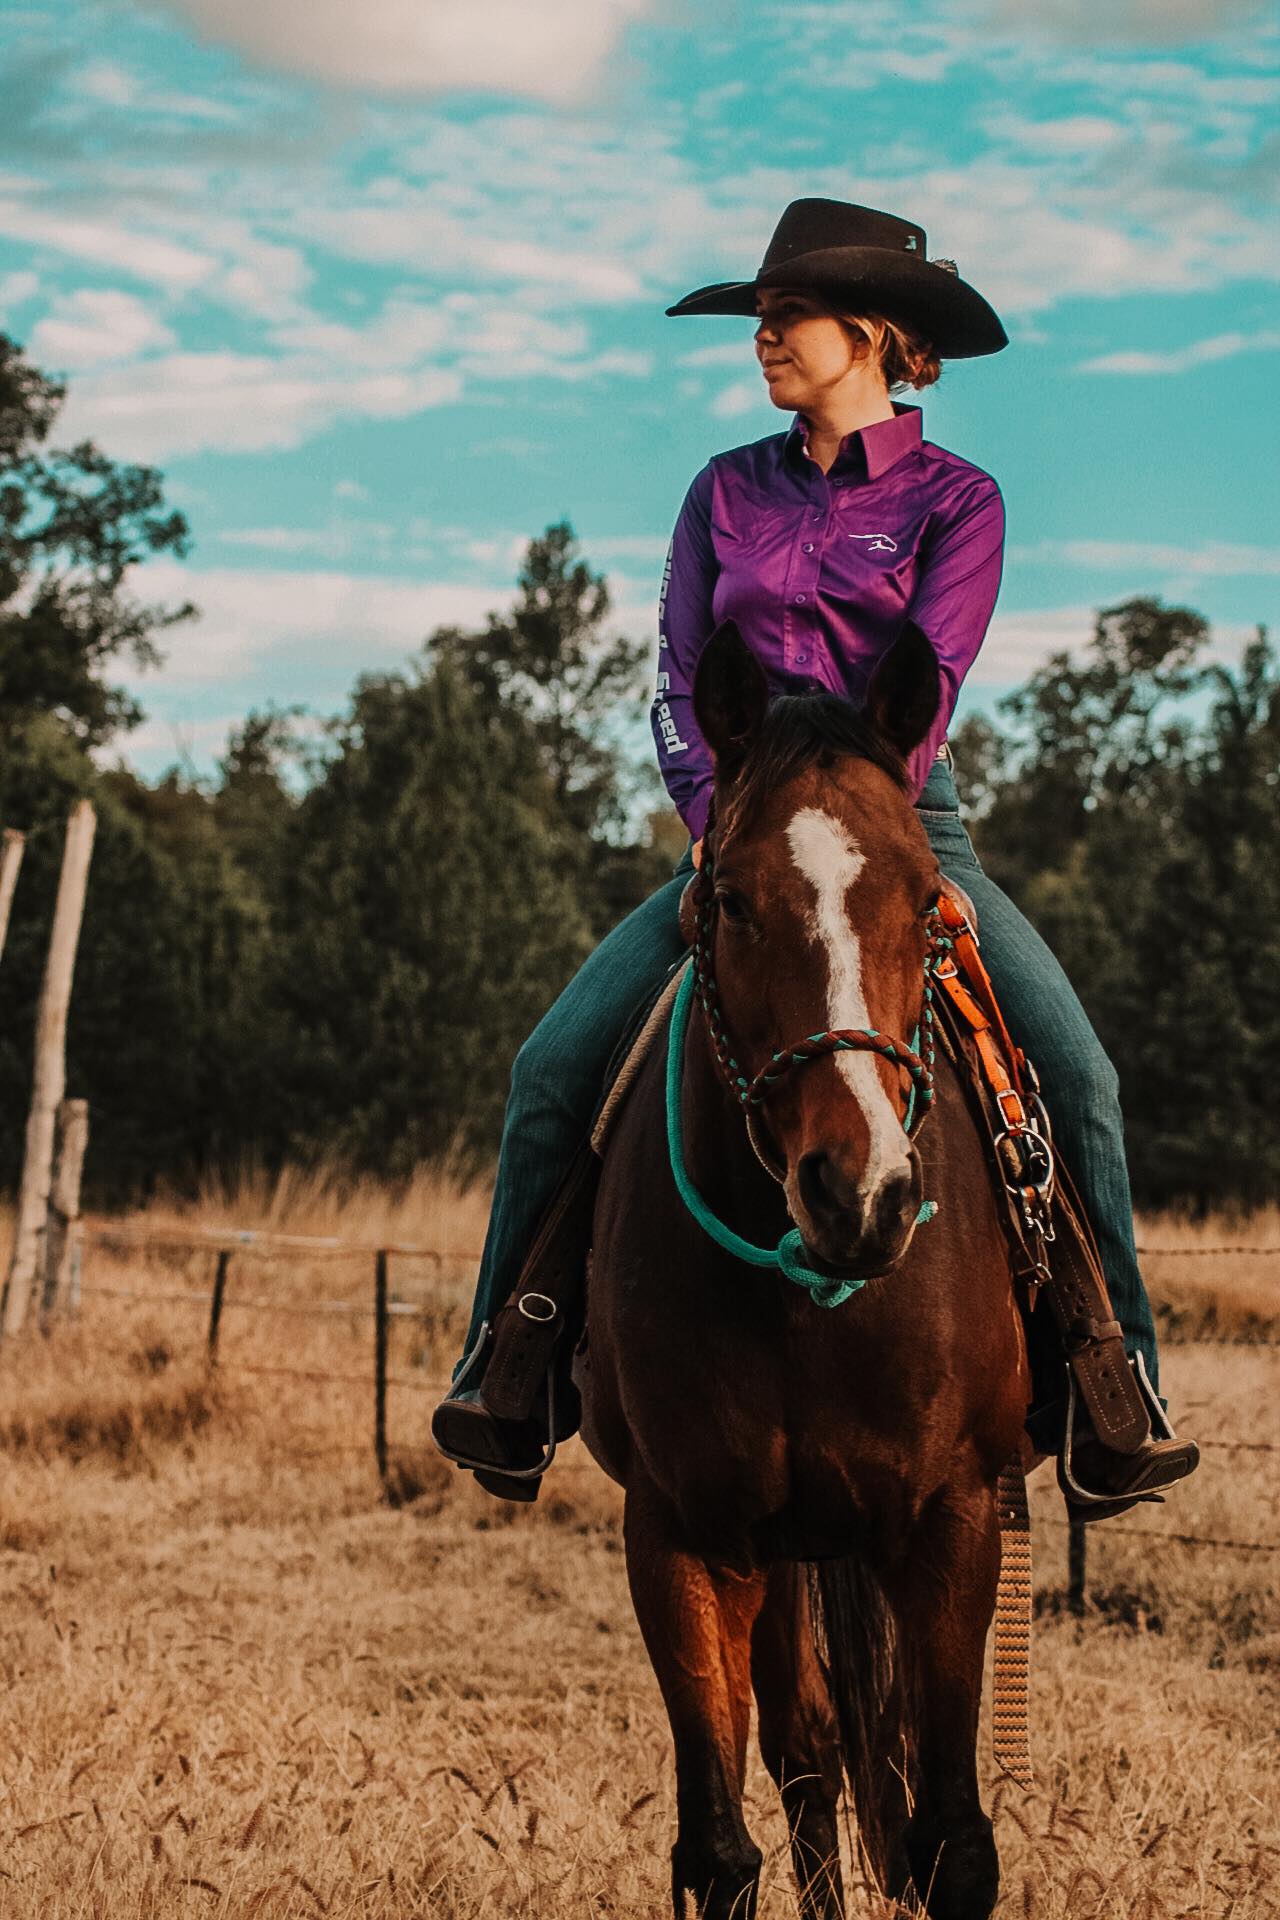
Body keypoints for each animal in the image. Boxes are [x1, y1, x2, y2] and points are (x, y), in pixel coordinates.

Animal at [579, 622, 1028, 1912]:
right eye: (727, 899)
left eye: (926, 904)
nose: (858, 1188)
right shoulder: (683, 1531)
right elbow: (719, 1848)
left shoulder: (951, 1519)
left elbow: (950, 1844)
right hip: (780, 1546)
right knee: (809, 1751)